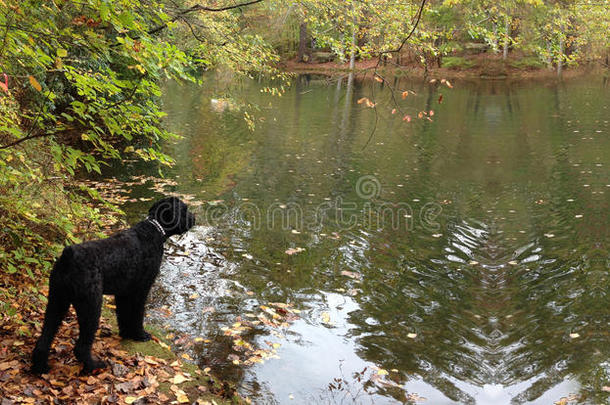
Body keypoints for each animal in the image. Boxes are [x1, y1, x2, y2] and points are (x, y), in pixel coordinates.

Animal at [31, 196, 195, 372]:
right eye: (184, 209)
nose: (193, 218)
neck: (154, 229)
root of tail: (69, 256)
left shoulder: (123, 292)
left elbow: (123, 315)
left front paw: (126, 333)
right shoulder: (141, 290)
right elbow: (137, 315)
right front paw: (140, 335)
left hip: (57, 301)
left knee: (45, 337)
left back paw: (40, 367)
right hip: (91, 306)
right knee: (81, 346)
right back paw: (94, 365)